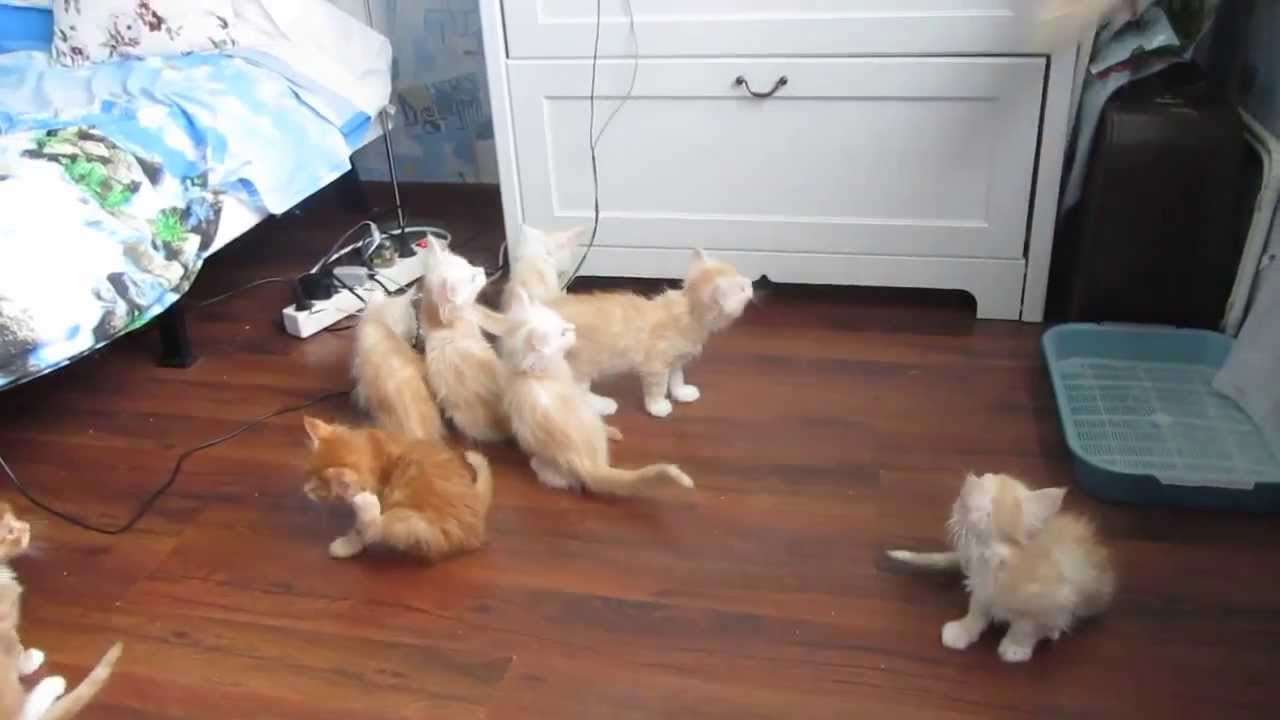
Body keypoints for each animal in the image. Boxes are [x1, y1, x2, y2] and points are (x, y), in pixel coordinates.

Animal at [0, 503, 123, 720]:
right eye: (10, 532)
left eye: (11, 512)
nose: (27, 526)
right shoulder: (6, 629)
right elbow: (18, 650)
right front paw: (29, 660)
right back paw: (52, 684)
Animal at [302, 417, 494, 562]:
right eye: (307, 473)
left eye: (318, 488)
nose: (305, 490)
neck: (376, 455)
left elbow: (363, 528)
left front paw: (346, 545)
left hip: (424, 528)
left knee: (382, 526)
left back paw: (367, 504)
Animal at [418, 242, 511, 443]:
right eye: (473, 278)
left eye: (469, 264)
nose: (482, 269)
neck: (439, 324)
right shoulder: (477, 315)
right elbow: (499, 321)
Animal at [547, 249, 753, 418]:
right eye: (743, 288)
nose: (751, 282)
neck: (689, 311)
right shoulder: (655, 364)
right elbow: (658, 387)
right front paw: (658, 406)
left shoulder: (675, 359)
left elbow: (677, 377)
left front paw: (681, 392)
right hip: (582, 361)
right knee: (577, 392)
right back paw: (602, 405)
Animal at [887, 473, 1115, 663]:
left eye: (988, 509)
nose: (966, 485)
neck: (995, 564)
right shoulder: (981, 587)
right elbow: (976, 612)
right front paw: (963, 630)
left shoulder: (1054, 600)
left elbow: (1027, 626)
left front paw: (1015, 648)